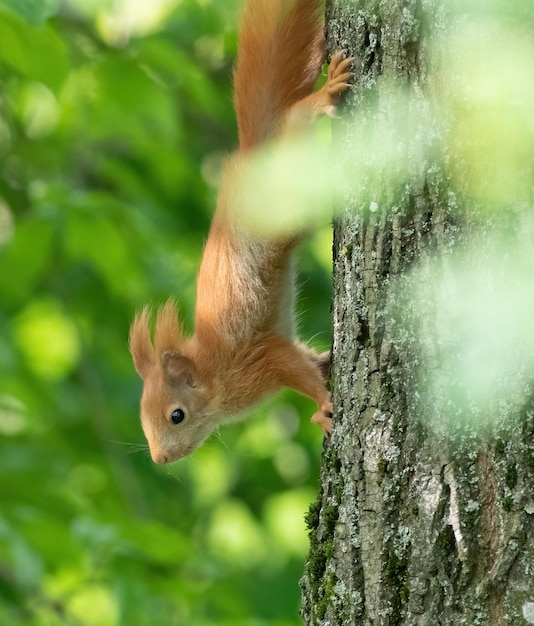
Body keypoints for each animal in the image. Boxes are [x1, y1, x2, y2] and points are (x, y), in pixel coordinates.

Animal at [130, 0, 356, 460]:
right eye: (143, 422)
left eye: (176, 415)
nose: (161, 458)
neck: (214, 379)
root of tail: (252, 152)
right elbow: (309, 360)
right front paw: (327, 363)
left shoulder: (258, 360)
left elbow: (293, 368)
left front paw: (322, 407)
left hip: (284, 171)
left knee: (297, 116)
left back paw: (327, 92)